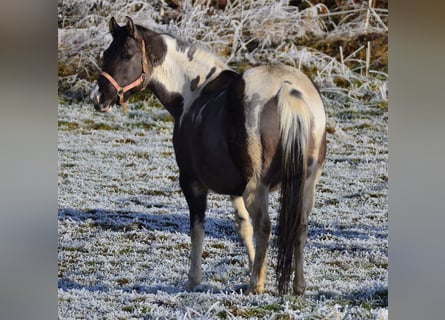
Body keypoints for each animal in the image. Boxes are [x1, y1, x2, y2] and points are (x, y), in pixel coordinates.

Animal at [90, 15, 326, 296]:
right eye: (106, 53)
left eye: (127, 55)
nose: (98, 97)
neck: (194, 91)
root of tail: (286, 88)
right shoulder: (235, 189)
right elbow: (242, 226)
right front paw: (252, 267)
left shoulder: (192, 184)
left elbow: (197, 230)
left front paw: (193, 280)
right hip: (305, 184)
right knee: (299, 225)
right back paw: (297, 286)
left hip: (257, 188)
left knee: (265, 226)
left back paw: (255, 286)